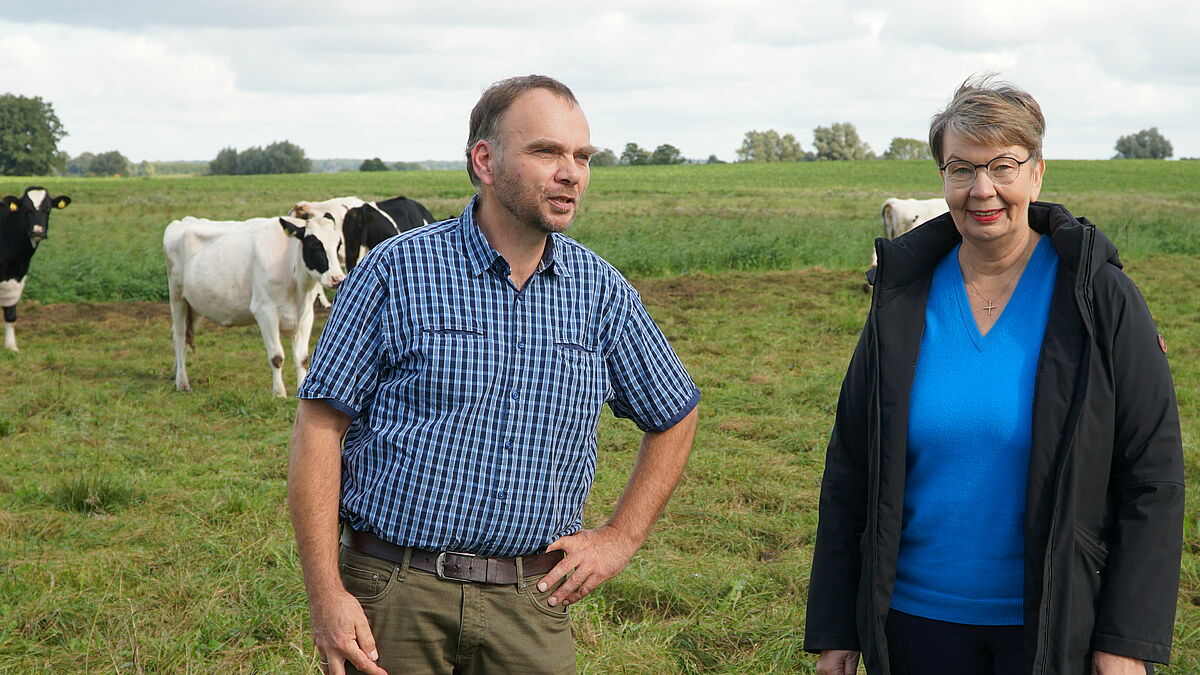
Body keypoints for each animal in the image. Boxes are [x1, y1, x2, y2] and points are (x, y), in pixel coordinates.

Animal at [0, 186, 71, 348]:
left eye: (48, 208)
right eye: (26, 209)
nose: (37, 231)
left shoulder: (18, 277)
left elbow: (10, 313)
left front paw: (11, 347)